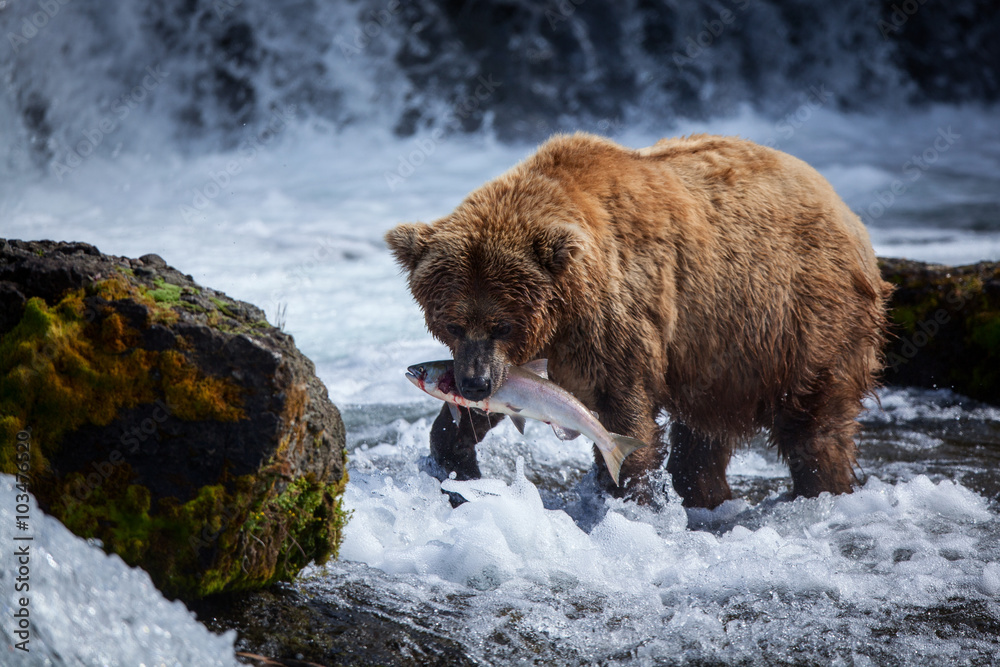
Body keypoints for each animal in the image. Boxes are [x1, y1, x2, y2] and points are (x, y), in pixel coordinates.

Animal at [385, 132, 891, 508]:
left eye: (503, 324)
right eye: (452, 323)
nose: (473, 385)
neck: (565, 311)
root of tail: (842, 205)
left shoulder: (615, 320)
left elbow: (621, 411)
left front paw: (626, 497)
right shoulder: (526, 358)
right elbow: (493, 408)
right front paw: (458, 469)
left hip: (799, 317)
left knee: (815, 422)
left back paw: (825, 487)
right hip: (720, 353)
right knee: (704, 433)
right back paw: (706, 494)